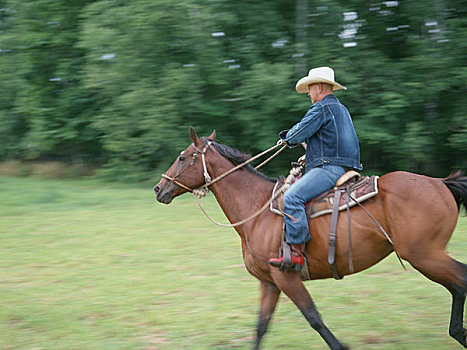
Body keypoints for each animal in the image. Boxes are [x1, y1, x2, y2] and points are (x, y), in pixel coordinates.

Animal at [154, 129, 467, 350]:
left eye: (182, 157)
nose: (159, 188)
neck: (257, 210)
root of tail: (440, 183)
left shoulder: (286, 277)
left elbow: (314, 318)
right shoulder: (269, 282)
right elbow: (261, 327)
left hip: (424, 255)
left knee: (460, 281)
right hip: (428, 256)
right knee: (457, 285)